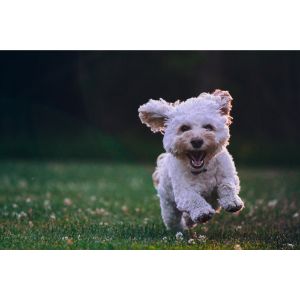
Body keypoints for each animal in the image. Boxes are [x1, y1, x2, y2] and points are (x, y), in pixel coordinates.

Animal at [138, 90, 244, 231]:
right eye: (184, 128)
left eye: (208, 127)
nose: (197, 141)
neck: (203, 171)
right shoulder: (183, 192)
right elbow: (193, 198)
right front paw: (202, 212)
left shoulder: (227, 174)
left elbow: (227, 186)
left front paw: (232, 202)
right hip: (168, 205)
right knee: (173, 219)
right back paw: (181, 228)